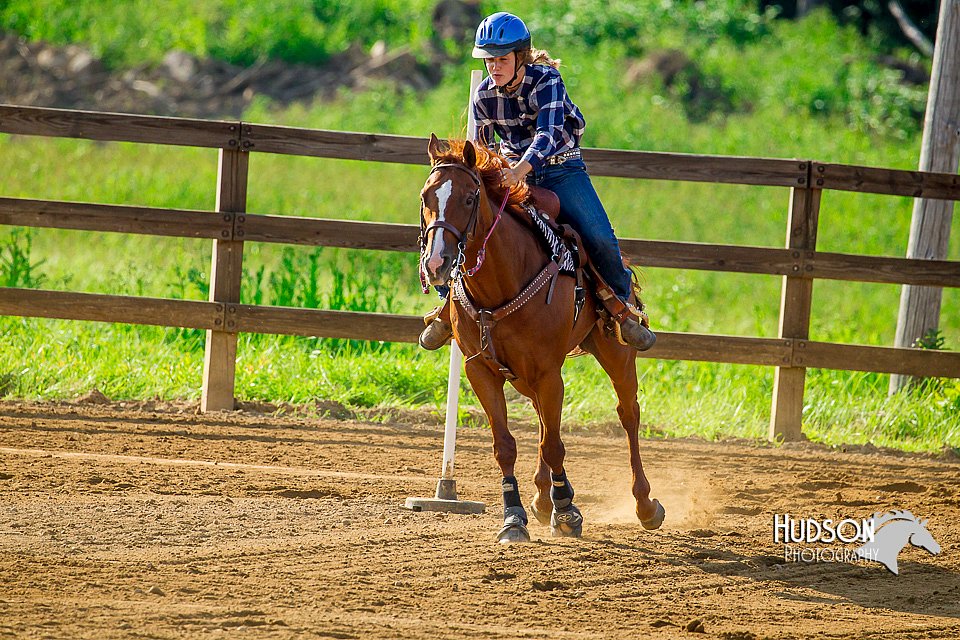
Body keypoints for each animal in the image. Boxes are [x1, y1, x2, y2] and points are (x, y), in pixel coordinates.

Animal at [420, 132, 668, 544]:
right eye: (426, 197)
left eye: (469, 198)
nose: (437, 263)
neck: (501, 281)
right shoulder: (480, 371)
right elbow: (506, 446)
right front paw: (514, 517)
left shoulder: (550, 372)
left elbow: (553, 445)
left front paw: (567, 509)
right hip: (525, 375)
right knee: (541, 419)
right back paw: (540, 499)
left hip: (615, 353)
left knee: (627, 414)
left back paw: (645, 505)